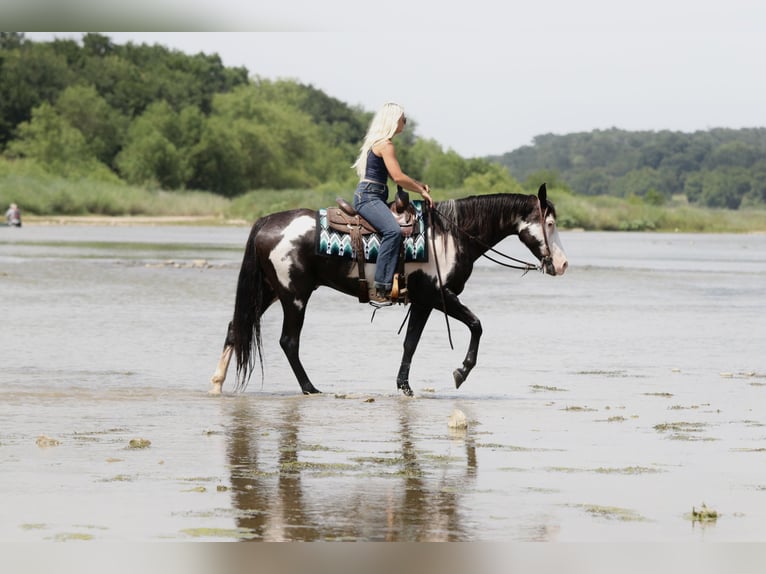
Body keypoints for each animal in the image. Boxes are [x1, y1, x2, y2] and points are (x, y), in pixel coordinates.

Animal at [209, 183, 568, 397]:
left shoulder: (423, 302)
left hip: (270, 291)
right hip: (294, 296)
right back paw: (310, 388)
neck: (450, 235)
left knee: (235, 327)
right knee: (288, 341)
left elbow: (411, 342)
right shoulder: (436, 296)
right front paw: (461, 372)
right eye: (549, 224)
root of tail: (266, 222)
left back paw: (217, 383)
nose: (562, 264)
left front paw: (404, 386)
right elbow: (476, 325)